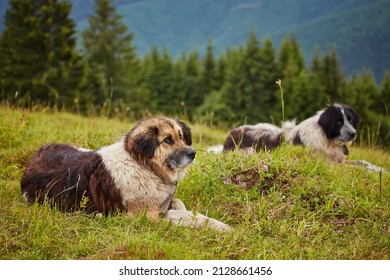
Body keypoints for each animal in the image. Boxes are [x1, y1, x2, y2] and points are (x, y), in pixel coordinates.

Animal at [20, 116, 229, 232]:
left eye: (181, 137)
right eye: (167, 140)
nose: (192, 153)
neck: (144, 166)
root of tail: (33, 160)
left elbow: (181, 206)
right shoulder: (147, 216)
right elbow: (186, 216)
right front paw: (222, 227)